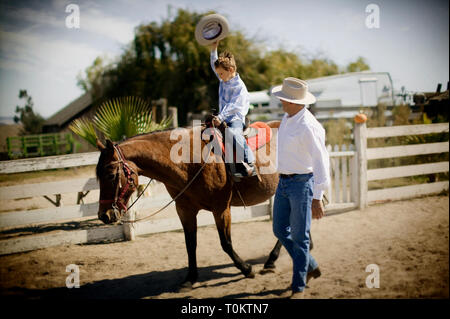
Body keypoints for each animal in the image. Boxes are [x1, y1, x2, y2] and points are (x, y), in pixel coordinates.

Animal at [96, 121, 288, 292]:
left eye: (111, 175)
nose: (104, 215)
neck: (190, 162)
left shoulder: (221, 209)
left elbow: (225, 243)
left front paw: (246, 269)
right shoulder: (185, 210)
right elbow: (190, 244)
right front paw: (190, 279)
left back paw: (271, 260)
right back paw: (272, 260)